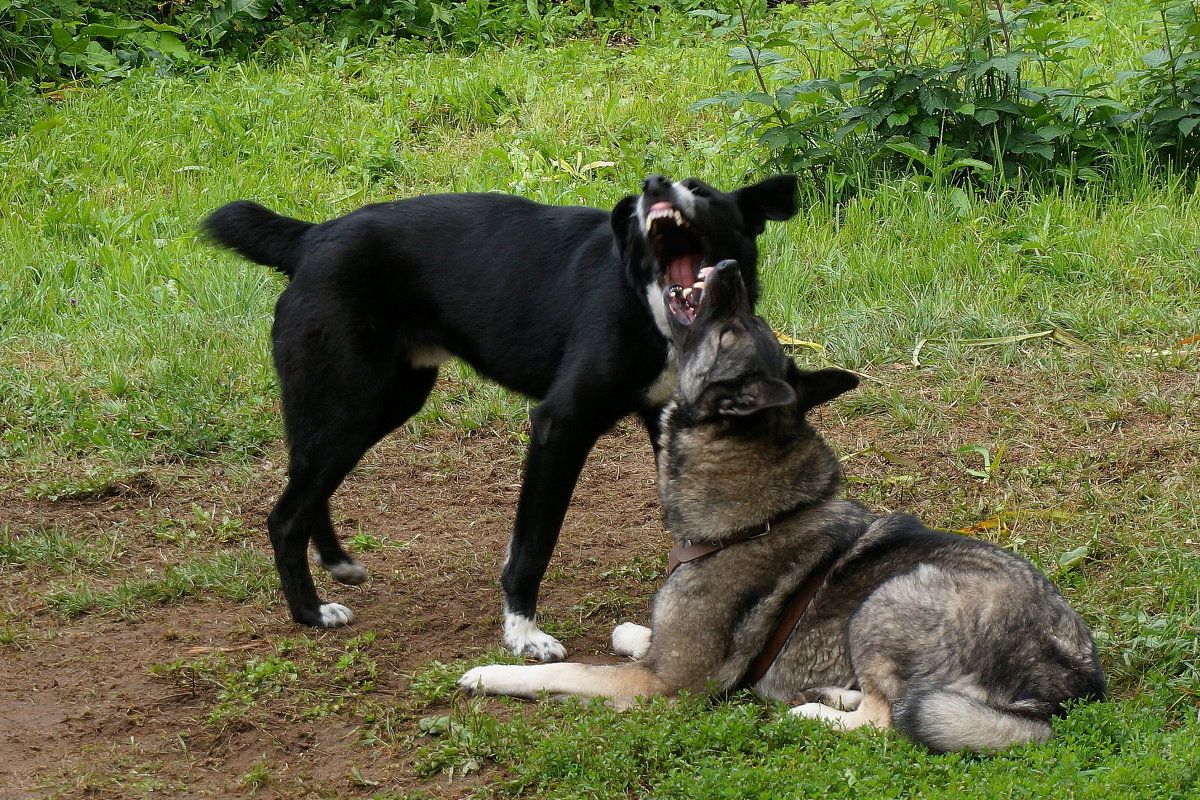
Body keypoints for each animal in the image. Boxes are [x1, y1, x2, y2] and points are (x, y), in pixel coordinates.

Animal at [205, 172, 796, 662]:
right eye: (641, 200)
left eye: (700, 190)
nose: (654, 185)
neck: (651, 307)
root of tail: (311, 238)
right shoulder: (560, 425)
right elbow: (533, 543)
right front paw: (523, 634)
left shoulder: (666, 420)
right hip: (353, 402)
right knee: (286, 513)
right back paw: (309, 612)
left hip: (381, 402)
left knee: (308, 487)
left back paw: (337, 564)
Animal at [460, 261, 1104, 753]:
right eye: (747, 322)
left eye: (730, 329)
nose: (726, 266)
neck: (754, 520)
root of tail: (1074, 687)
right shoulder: (669, 660)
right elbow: (637, 636)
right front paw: (633, 632)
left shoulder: (661, 686)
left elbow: (563, 672)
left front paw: (494, 673)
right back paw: (834, 691)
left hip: (887, 599)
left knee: (889, 721)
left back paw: (815, 711)